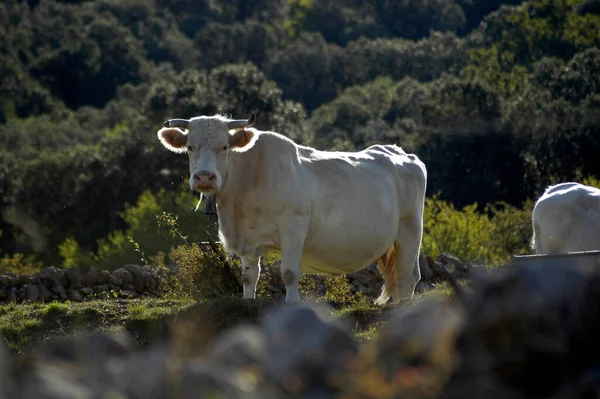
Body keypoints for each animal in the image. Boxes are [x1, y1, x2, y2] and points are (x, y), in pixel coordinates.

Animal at [156, 114, 426, 304]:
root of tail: (402, 153)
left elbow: (289, 272)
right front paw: (247, 301)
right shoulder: (247, 237)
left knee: (406, 276)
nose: (204, 177)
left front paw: (292, 303)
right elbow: (248, 276)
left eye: (224, 147)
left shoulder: (293, 227)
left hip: (410, 230)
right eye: (190, 147)